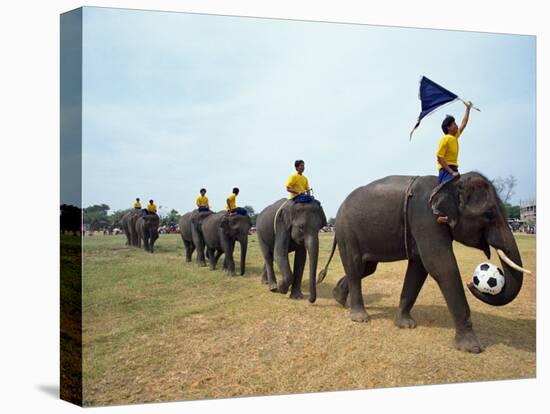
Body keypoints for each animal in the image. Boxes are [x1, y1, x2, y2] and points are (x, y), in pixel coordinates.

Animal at [320, 171, 536, 352]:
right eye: (489, 214)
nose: (472, 283)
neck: (449, 183)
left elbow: (419, 268)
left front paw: (405, 325)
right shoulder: (426, 220)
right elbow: (441, 266)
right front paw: (472, 348)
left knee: (366, 268)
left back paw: (339, 298)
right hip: (347, 231)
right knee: (356, 267)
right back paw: (360, 318)